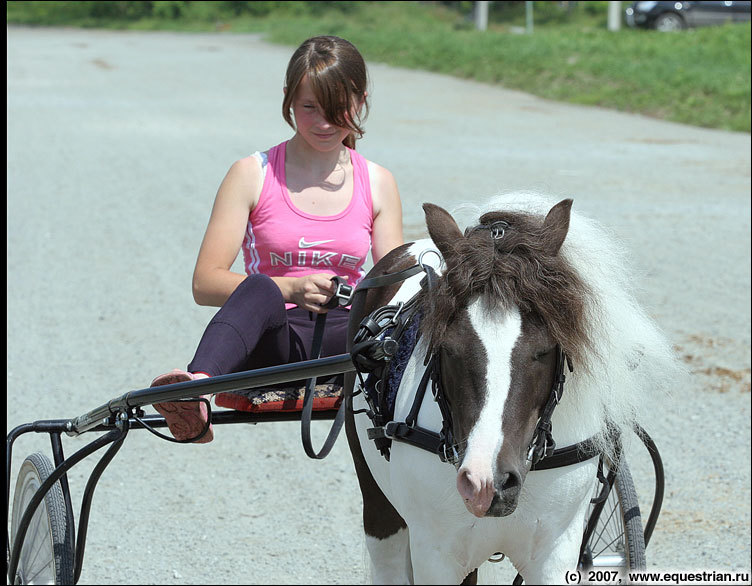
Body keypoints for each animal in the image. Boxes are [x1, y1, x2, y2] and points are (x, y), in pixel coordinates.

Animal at [344, 194, 680, 580]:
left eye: (545, 349)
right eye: (448, 348)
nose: (485, 481)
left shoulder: (556, 552)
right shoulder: (436, 555)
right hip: (380, 510)